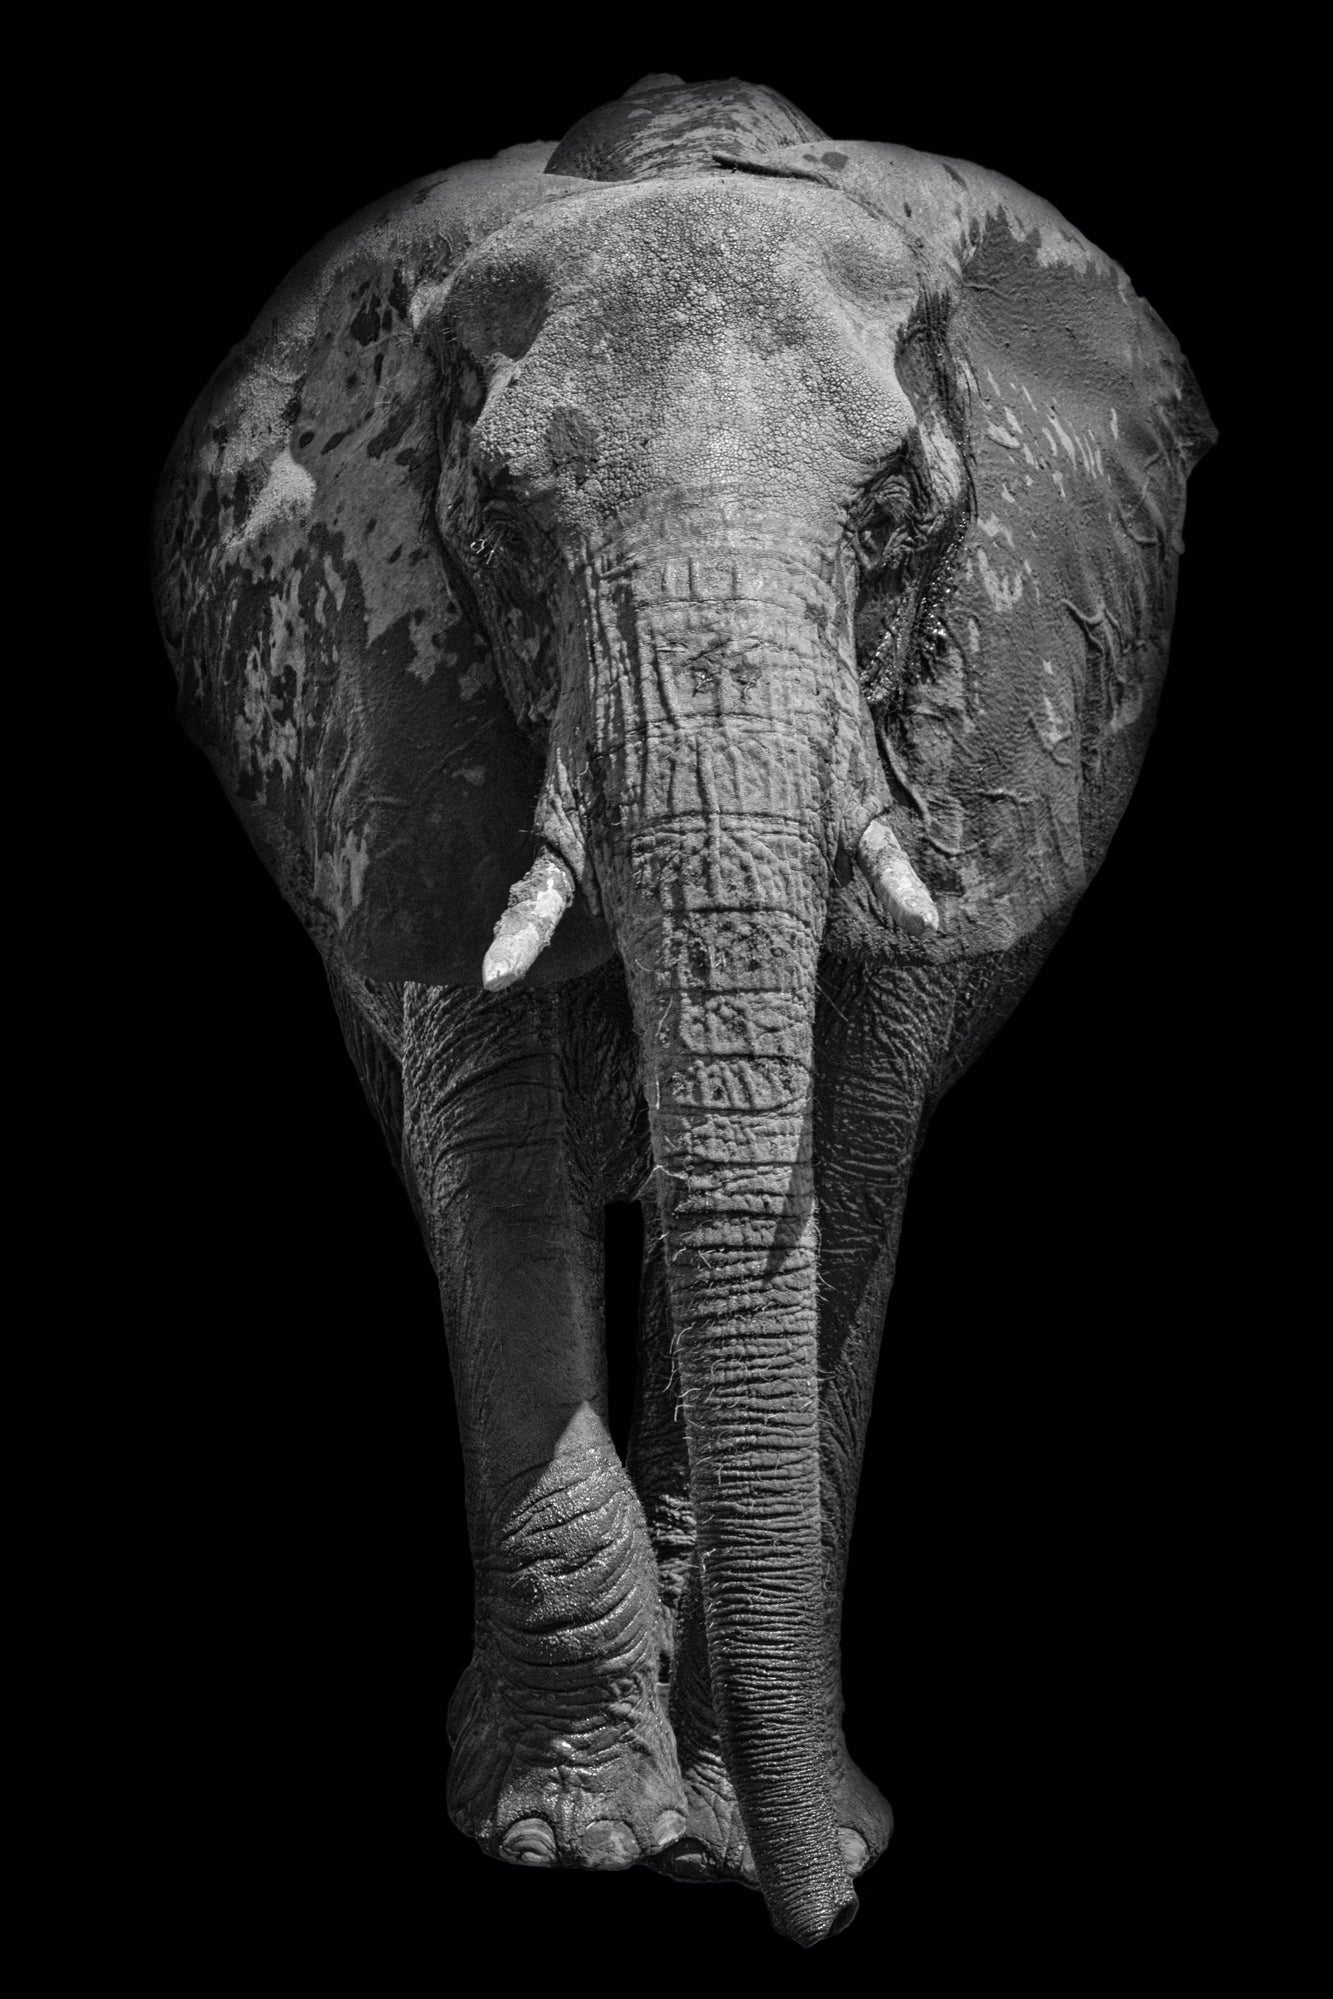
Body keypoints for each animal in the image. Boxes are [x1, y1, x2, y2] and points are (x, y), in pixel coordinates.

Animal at [151, 73, 1214, 1946]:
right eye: (504, 525)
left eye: (895, 515)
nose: (821, 1914)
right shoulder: (403, 725)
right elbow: (499, 1177)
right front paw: (575, 1837)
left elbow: (844, 1169)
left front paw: (744, 1835)